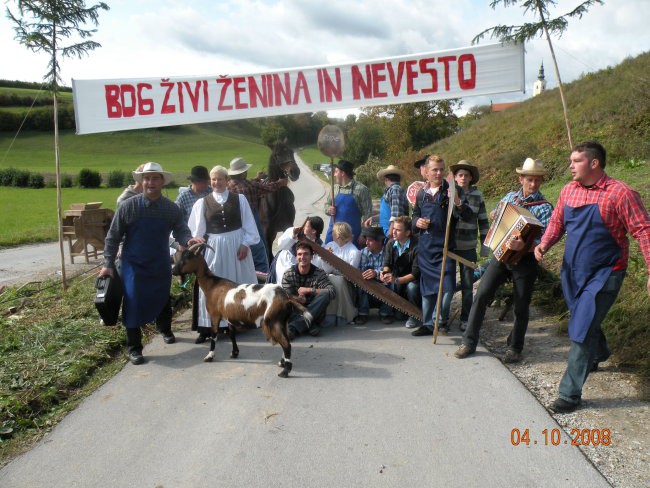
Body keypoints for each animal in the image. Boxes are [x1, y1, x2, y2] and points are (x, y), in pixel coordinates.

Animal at [170, 244, 312, 378]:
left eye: (188, 256)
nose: (173, 270)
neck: (213, 285)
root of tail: (286, 298)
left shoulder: (214, 315)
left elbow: (214, 335)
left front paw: (209, 356)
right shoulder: (229, 318)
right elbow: (232, 334)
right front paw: (234, 353)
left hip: (273, 321)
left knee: (286, 344)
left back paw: (285, 372)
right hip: (283, 321)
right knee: (286, 340)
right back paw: (282, 363)